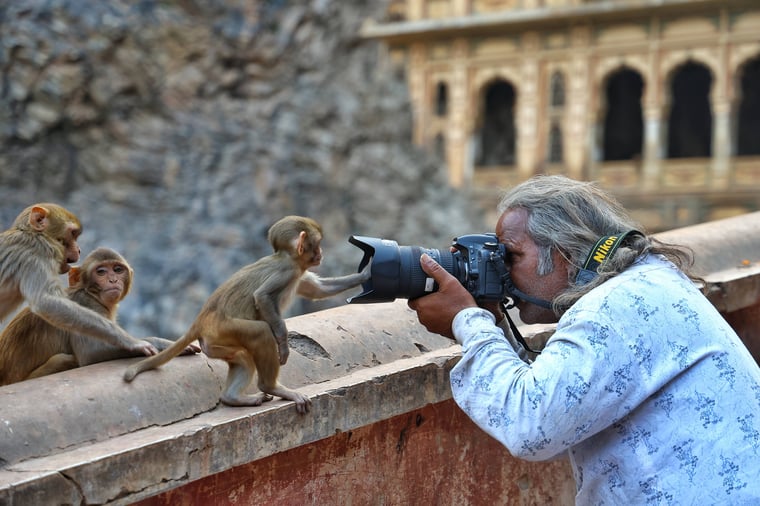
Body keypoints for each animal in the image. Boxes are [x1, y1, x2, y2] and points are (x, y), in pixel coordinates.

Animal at [0, 247, 200, 386]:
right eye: (101, 272)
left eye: (118, 269)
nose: (113, 280)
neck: (91, 294)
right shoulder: (86, 304)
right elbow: (90, 353)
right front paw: (157, 344)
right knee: (65, 358)